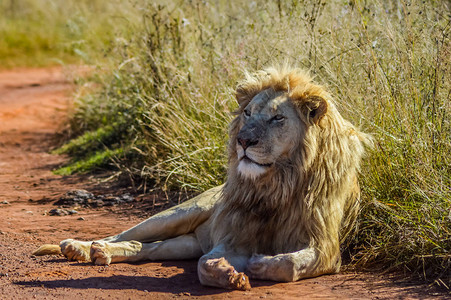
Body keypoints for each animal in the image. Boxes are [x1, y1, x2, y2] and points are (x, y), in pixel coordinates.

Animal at [32, 66, 370, 290]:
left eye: (278, 118)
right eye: (247, 113)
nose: (243, 141)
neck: (277, 182)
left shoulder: (325, 248)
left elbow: (290, 263)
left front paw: (261, 264)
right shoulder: (232, 237)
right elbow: (205, 265)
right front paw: (227, 272)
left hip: (187, 241)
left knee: (148, 248)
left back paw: (101, 253)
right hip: (180, 213)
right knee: (125, 234)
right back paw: (81, 247)